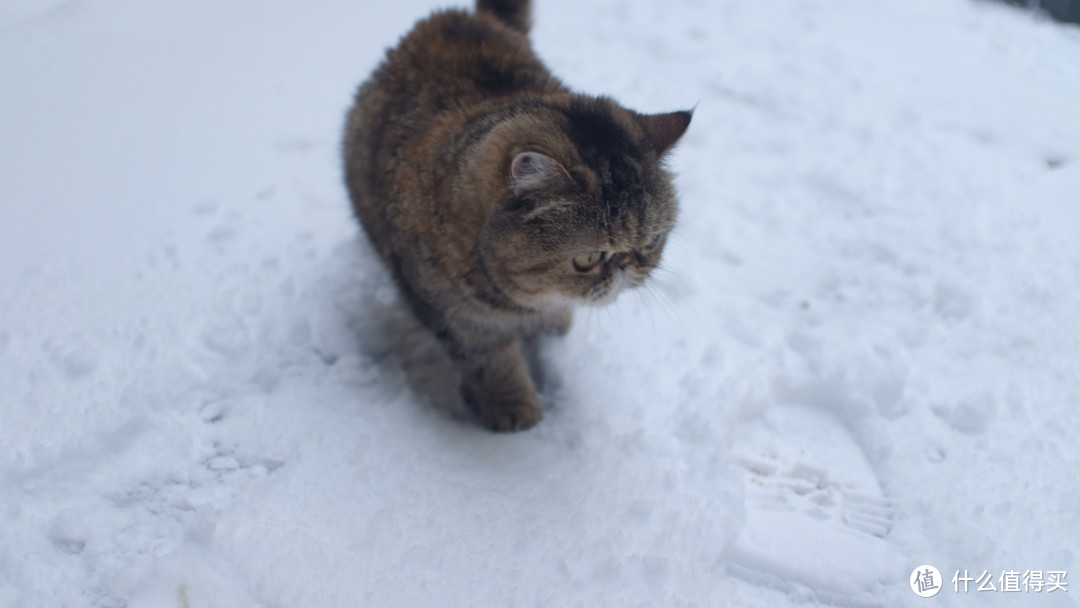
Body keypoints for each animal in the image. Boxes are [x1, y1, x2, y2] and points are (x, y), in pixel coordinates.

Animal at [341, 0, 686, 431]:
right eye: (587, 258)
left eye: (652, 241)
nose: (628, 264)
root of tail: (458, 16)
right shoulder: (456, 318)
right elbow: (490, 362)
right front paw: (511, 408)